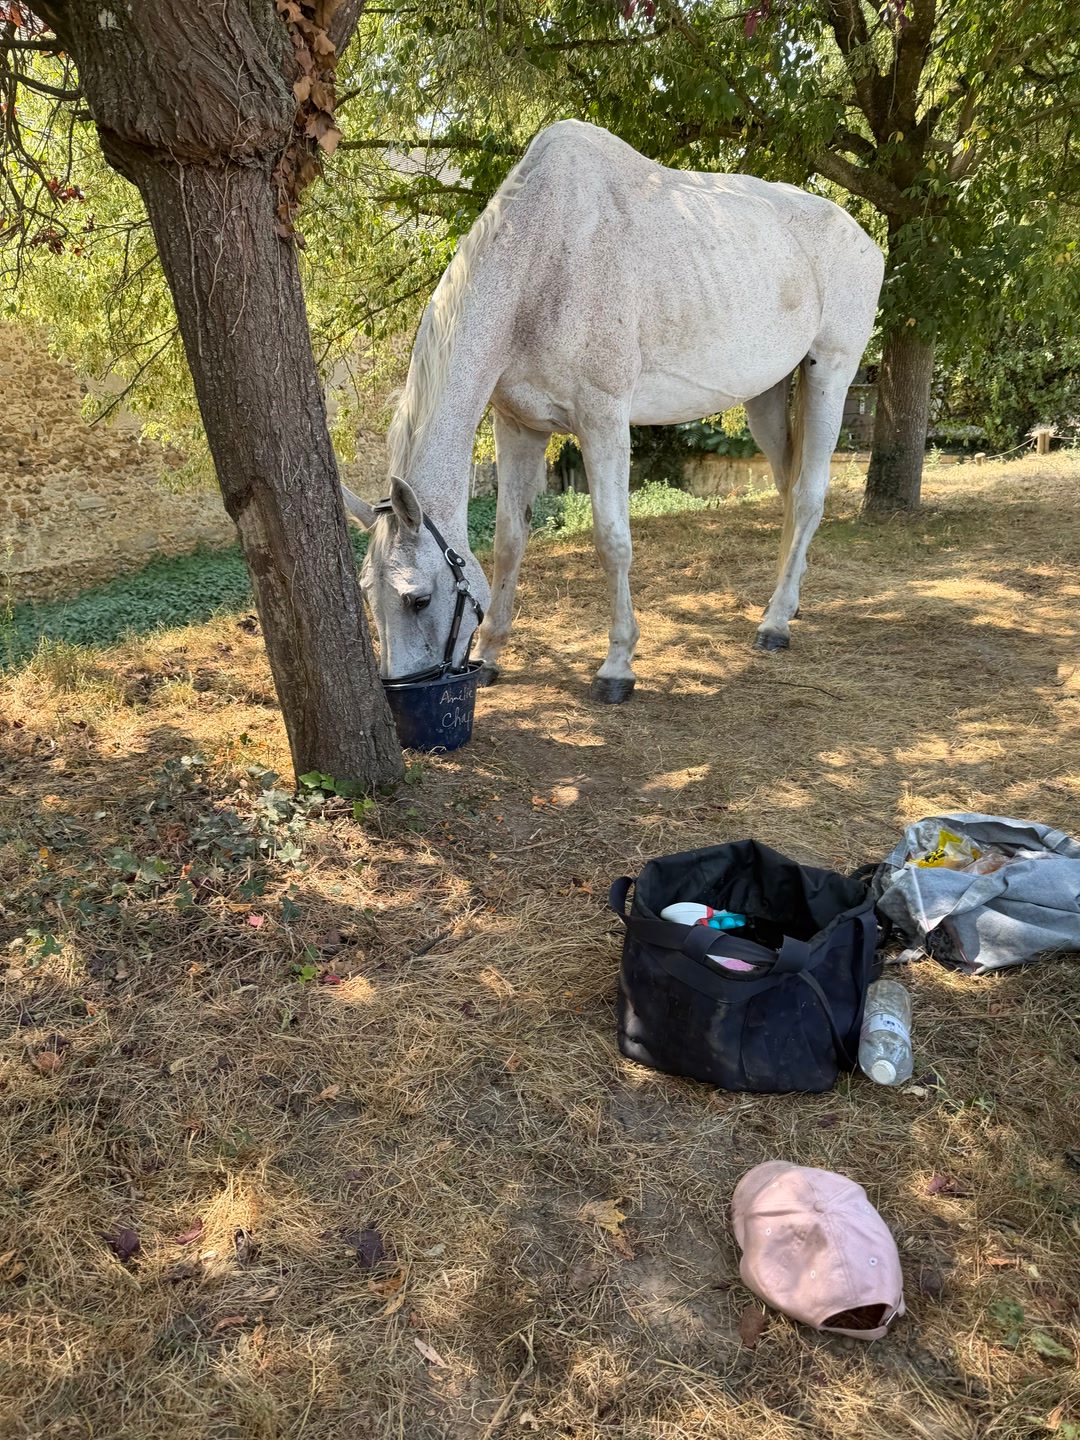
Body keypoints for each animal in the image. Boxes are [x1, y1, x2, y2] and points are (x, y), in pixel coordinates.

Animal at [344, 120, 883, 702]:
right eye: (367, 593)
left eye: (417, 598)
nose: (401, 695)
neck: (544, 259)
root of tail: (866, 242)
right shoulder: (519, 427)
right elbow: (510, 540)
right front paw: (489, 656)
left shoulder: (602, 420)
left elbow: (612, 540)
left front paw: (617, 666)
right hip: (767, 395)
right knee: (787, 490)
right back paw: (786, 602)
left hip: (830, 373)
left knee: (807, 496)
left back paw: (776, 623)